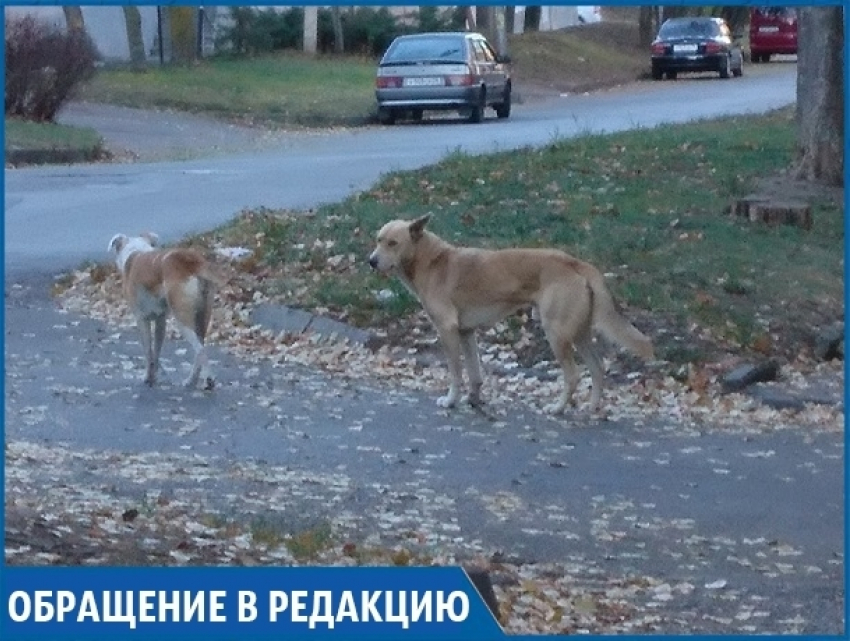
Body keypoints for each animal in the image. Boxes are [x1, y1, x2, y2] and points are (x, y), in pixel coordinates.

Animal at [107, 231, 224, 390]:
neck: (136, 250)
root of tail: (190, 261)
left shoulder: (141, 320)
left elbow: (148, 351)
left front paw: (148, 377)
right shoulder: (160, 320)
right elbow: (156, 350)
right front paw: (154, 376)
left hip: (182, 317)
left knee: (200, 350)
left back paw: (209, 380)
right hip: (203, 315)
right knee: (199, 346)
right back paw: (191, 380)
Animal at [368, 216, 652, 416]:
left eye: (393, 243)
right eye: (378, 240)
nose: (371, 261)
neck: (431, 261)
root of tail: (575, 262)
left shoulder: (447, 330)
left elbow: (456, 372)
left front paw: (451, 400)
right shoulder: (466, 332)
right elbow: (474, 372)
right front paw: (474, 400)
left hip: (557, 334)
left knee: (573, 376)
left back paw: (558, 408)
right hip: (579, 333)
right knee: (597, 368)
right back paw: (592, 408)